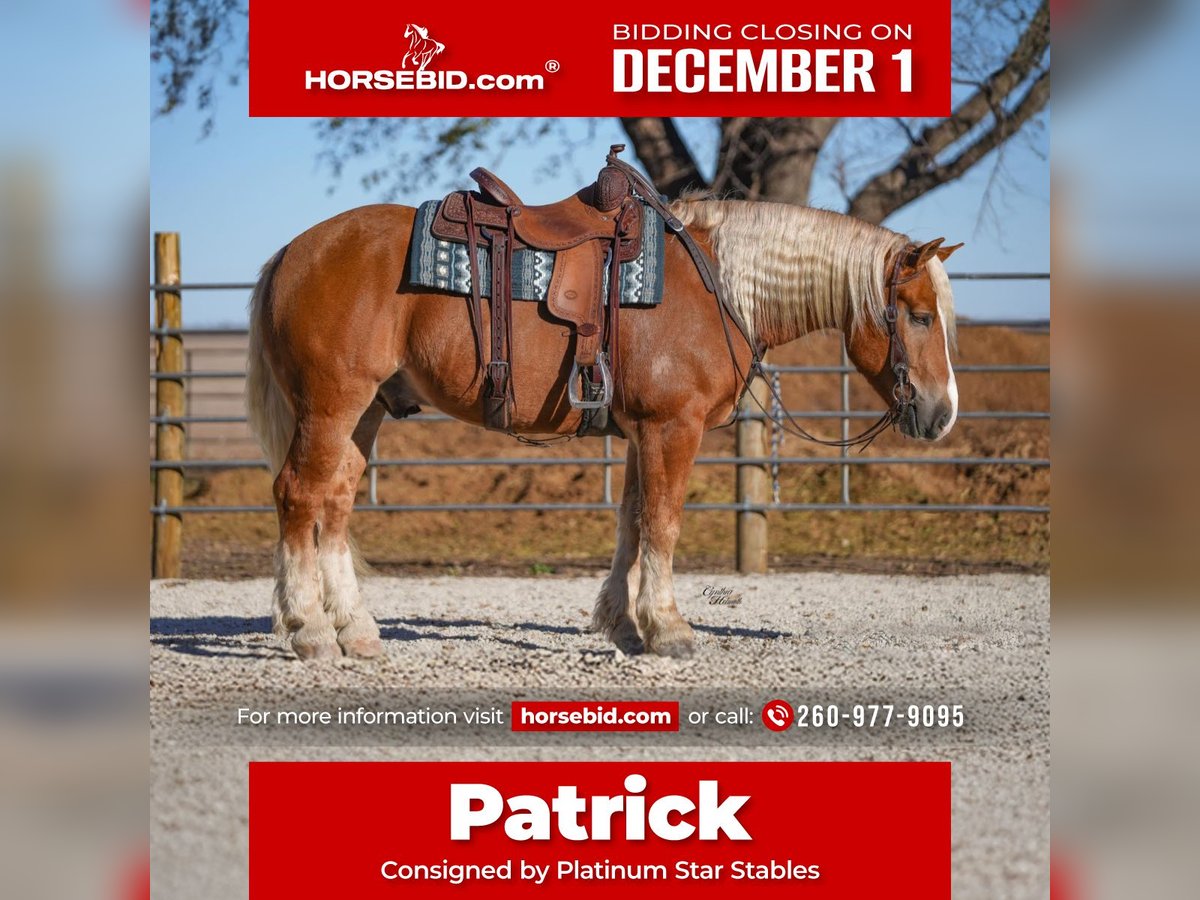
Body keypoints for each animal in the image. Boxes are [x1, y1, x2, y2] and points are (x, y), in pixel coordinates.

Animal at [245, 194, 962, 661]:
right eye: (919, 315)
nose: (942, 413)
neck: (720, 285)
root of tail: (290, 252)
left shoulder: (644, 432)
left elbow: (632, 523)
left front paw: (623, 624)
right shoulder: (674, 428)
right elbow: (663, 523)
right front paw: (669, 630)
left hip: (363, 413)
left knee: (335, 503)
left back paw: (358, 631)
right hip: (331, 406)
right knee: (298, 496)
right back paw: (310, 630)